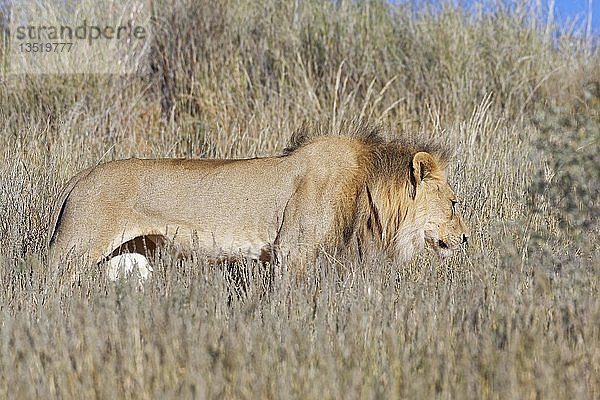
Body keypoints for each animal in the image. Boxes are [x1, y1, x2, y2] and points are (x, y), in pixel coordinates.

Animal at [47, 125, 468, 278]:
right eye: (453, 203)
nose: (465, 239)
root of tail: (81, 177)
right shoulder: (292, 253)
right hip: (74, 248)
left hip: (127, 259)